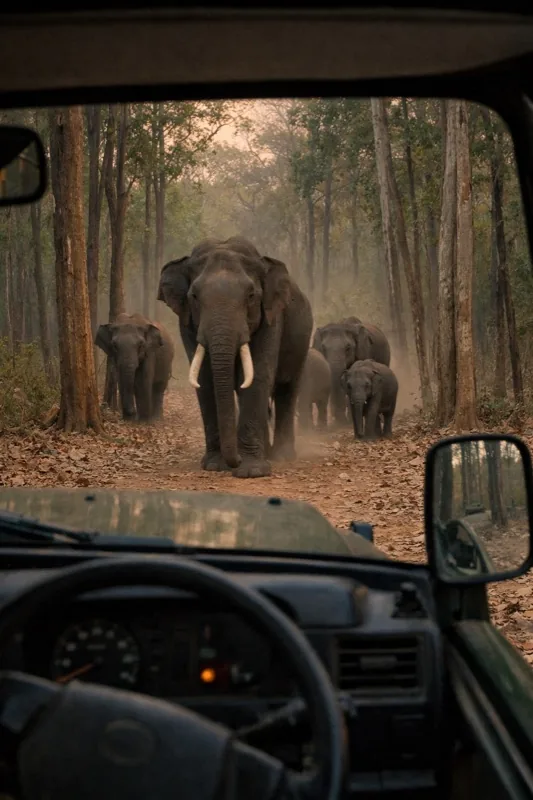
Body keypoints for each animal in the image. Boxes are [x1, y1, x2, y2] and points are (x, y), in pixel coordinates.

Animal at [157, 236, 313, 478]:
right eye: (194, 296)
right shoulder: (187, 323)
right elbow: (205, 381)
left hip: (302, 341)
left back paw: (282, 456)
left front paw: (251, 471)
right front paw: (214, 465)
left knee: (287, 390)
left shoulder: (271, 318)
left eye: (251, 296)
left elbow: (258, 377)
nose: (235, 461)